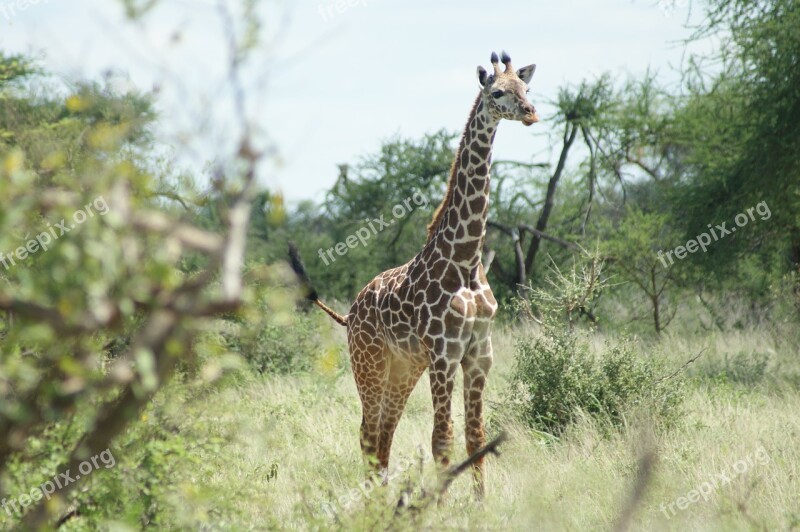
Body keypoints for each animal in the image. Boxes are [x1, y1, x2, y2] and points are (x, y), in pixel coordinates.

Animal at [288, 51, 536, 498]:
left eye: (526, 88)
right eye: (497, 92)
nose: (530, 112)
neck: (466, 261)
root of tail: (349, 313)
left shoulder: (480, 353)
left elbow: (476, 436)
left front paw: (481, 504)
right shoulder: (444, 354)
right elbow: (443, 438)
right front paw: (438, 505)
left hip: (404, 367)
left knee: (384, 431)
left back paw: (383, 497)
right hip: (368, 362)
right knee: (368, 432)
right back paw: (375, 500)